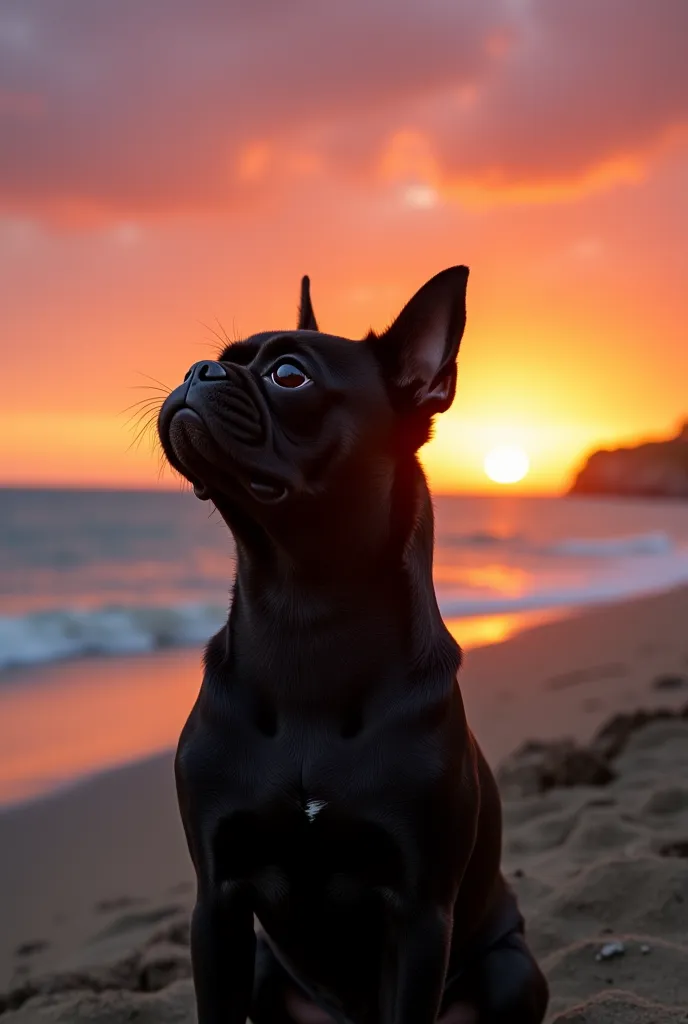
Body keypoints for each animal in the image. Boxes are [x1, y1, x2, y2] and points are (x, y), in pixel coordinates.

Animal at [157, 268, 548, 1019]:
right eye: (221, 357)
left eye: (288, 375)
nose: (197, 370)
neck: (305, 612)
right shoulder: (216, 903)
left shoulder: (421, 914)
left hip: (514, 970)